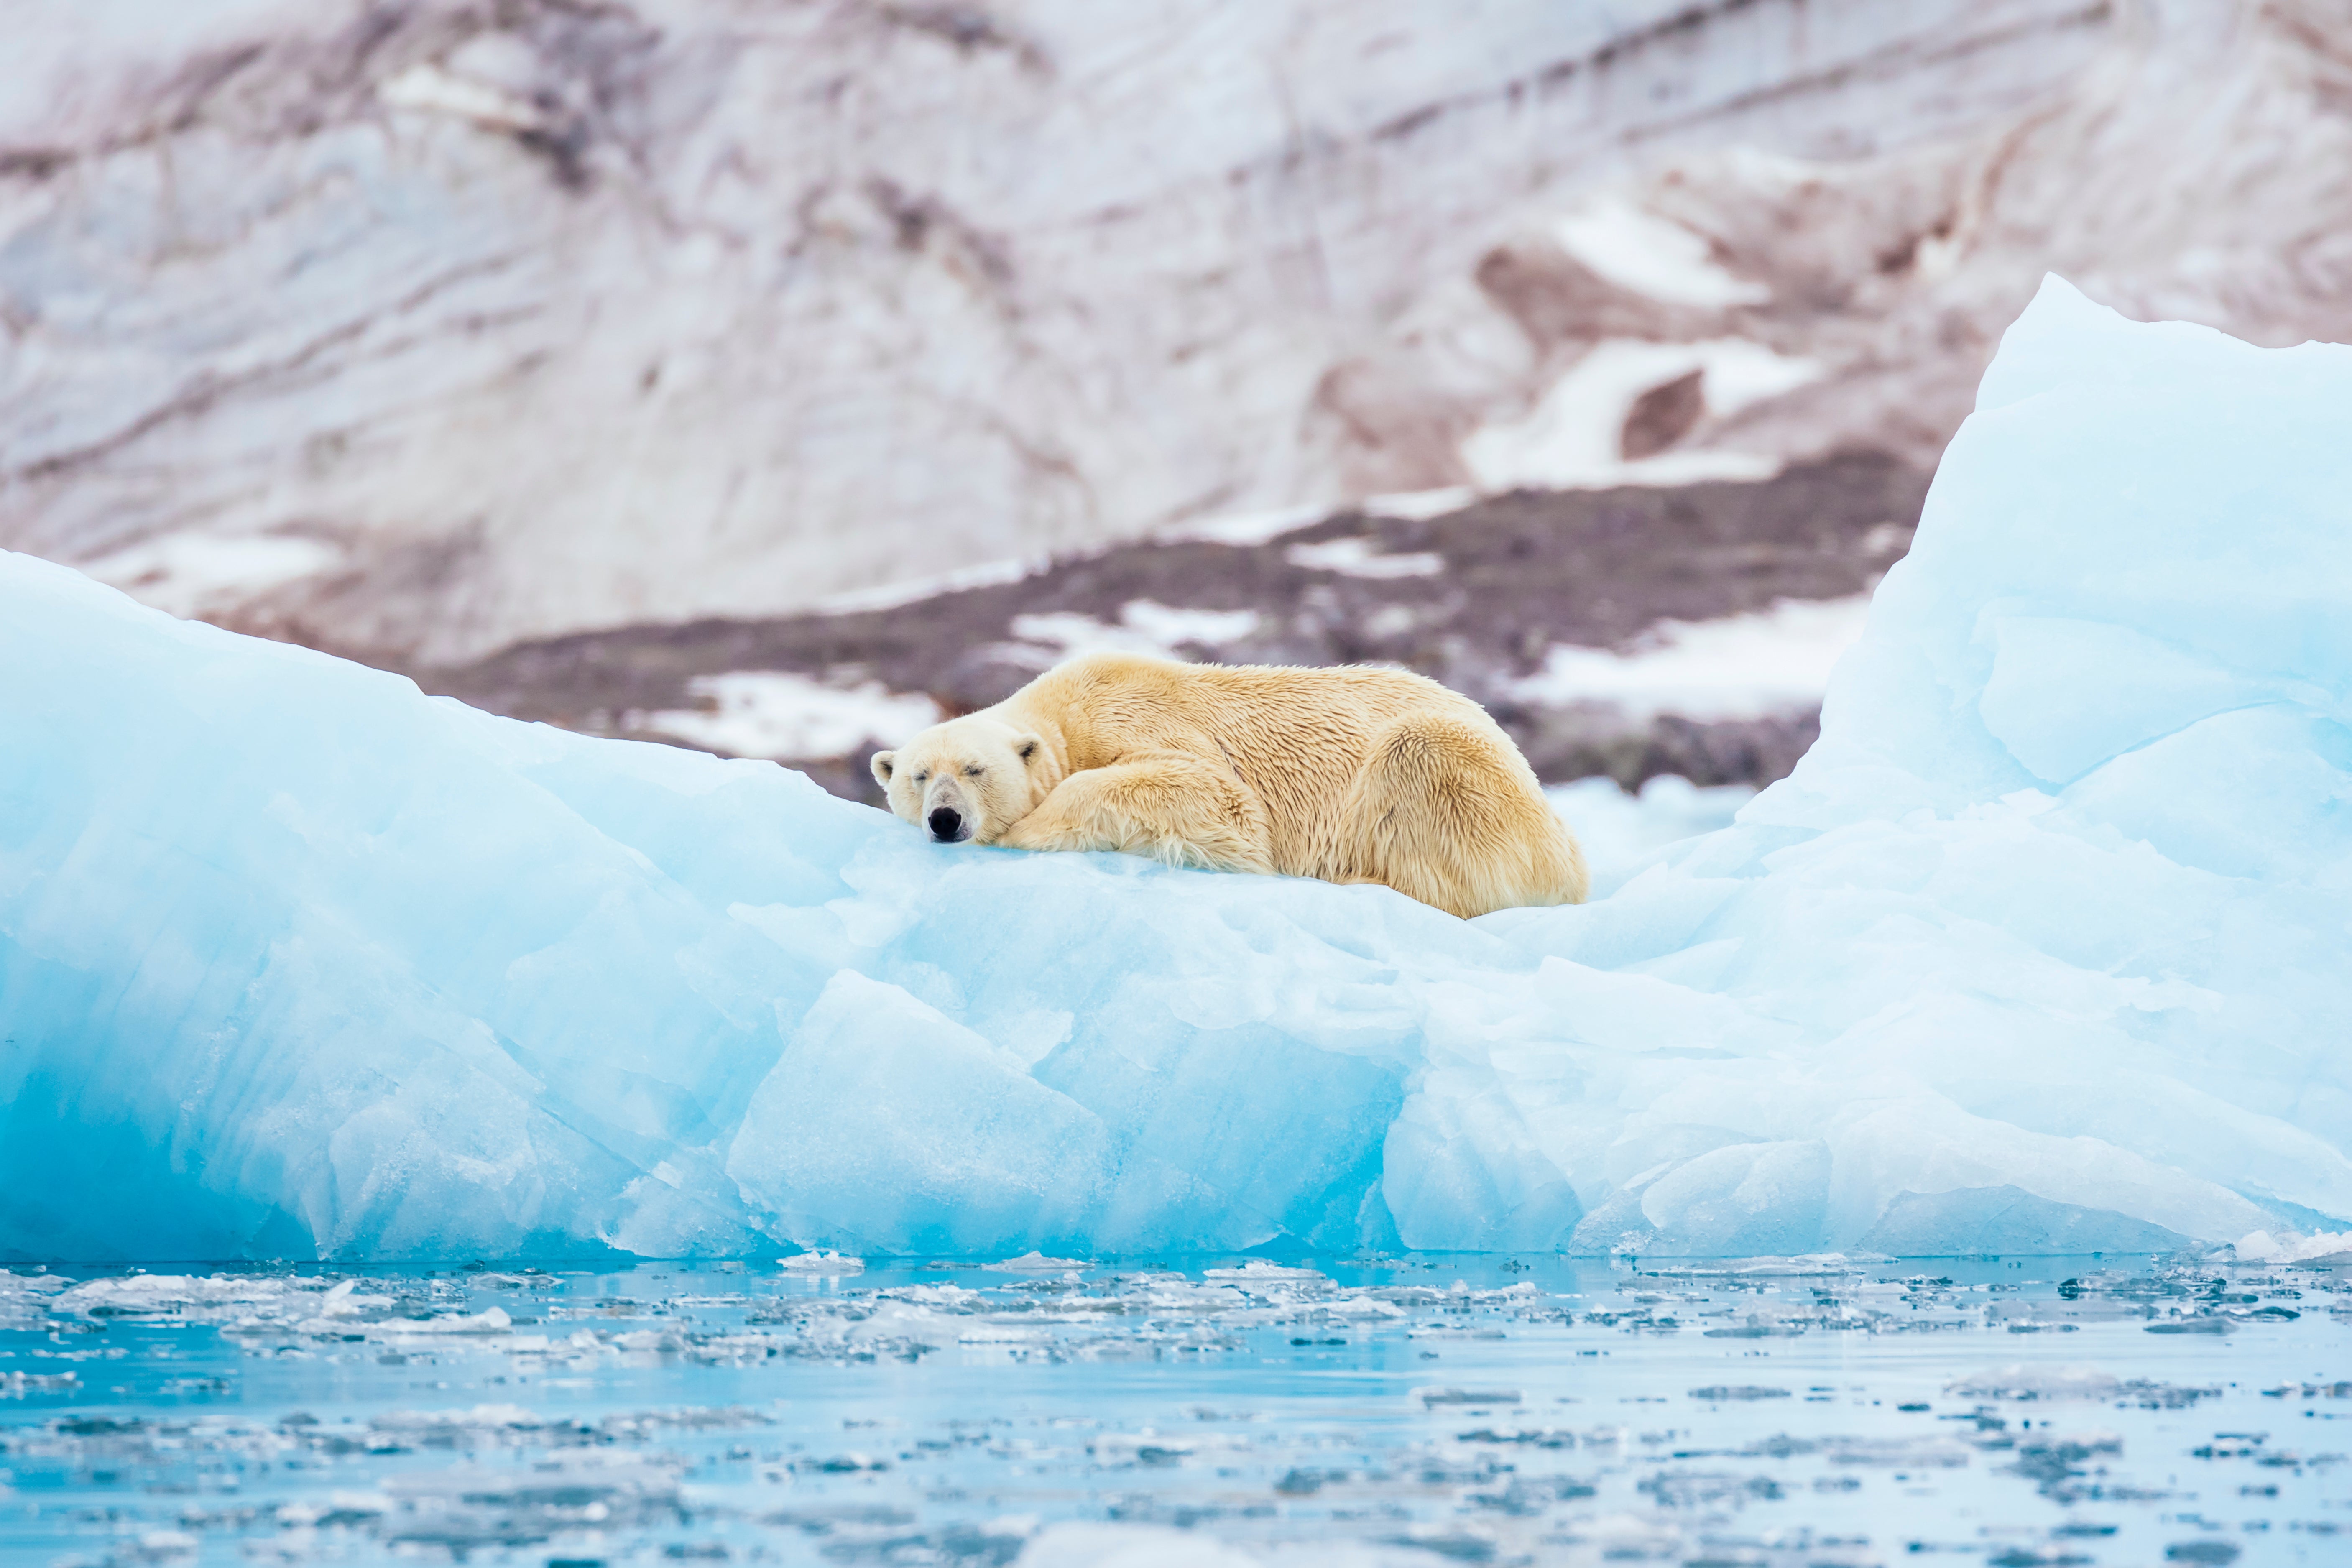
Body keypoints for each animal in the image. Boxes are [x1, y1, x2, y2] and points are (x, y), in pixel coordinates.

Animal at [866, 653, 1581, 921]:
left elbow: (1215, 796)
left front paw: (1025, 830)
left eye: (975, 769)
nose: (945, 819)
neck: (1066, 709)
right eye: (919, 776)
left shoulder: (1140, 718)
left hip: (1474, 782)